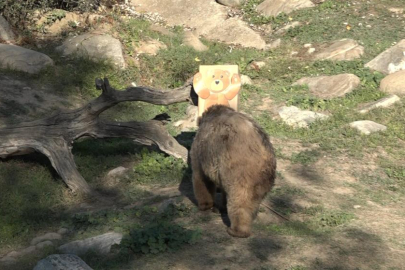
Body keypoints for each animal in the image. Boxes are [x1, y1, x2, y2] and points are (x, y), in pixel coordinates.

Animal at [189, 104, 276, 237]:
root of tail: (263, 153)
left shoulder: (201, 150)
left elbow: (201, 178)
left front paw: (205, 205)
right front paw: (220, 207)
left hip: (240, 170)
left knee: (239, 200)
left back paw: (236, 230)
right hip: (263, 179)